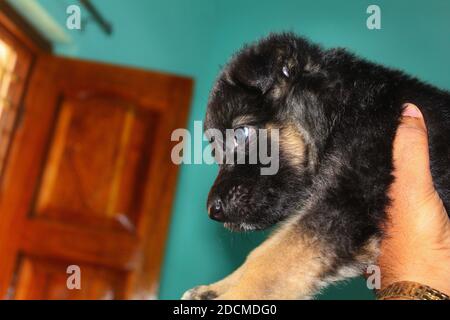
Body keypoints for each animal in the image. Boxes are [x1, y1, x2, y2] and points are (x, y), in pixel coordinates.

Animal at [181, 33, 448, 300]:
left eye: (241, 134)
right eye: (214, 150)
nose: (213, 211)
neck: (344, 108)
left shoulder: (343, 204)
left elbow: (268, 263)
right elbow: (262, 252)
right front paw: (215, 288)